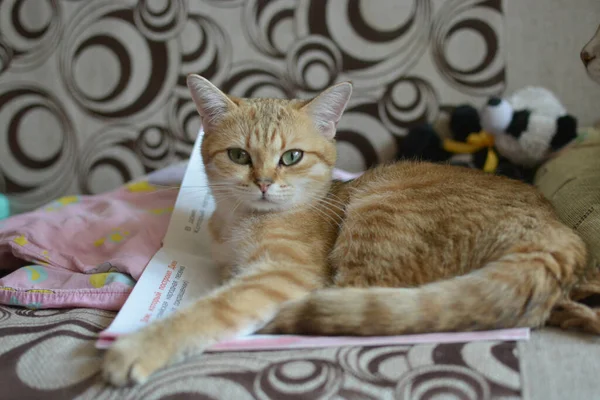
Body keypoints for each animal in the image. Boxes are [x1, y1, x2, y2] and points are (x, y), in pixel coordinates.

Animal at [104, 76, 592, 388]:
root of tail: (558, 236)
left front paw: (138, 348)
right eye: (240, 156)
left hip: (379, 208)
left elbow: (211, 310)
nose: (263, 182)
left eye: (291, 157)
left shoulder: (284, 272)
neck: (240, 220)